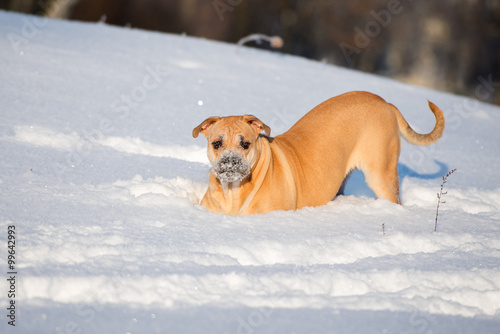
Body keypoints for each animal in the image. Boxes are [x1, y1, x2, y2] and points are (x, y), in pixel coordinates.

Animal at [192, 91, 446, 215]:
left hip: (381, 172)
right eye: (217, 143)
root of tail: (384, 102)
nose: (230, 161)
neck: (233, 192)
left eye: (245, 144)